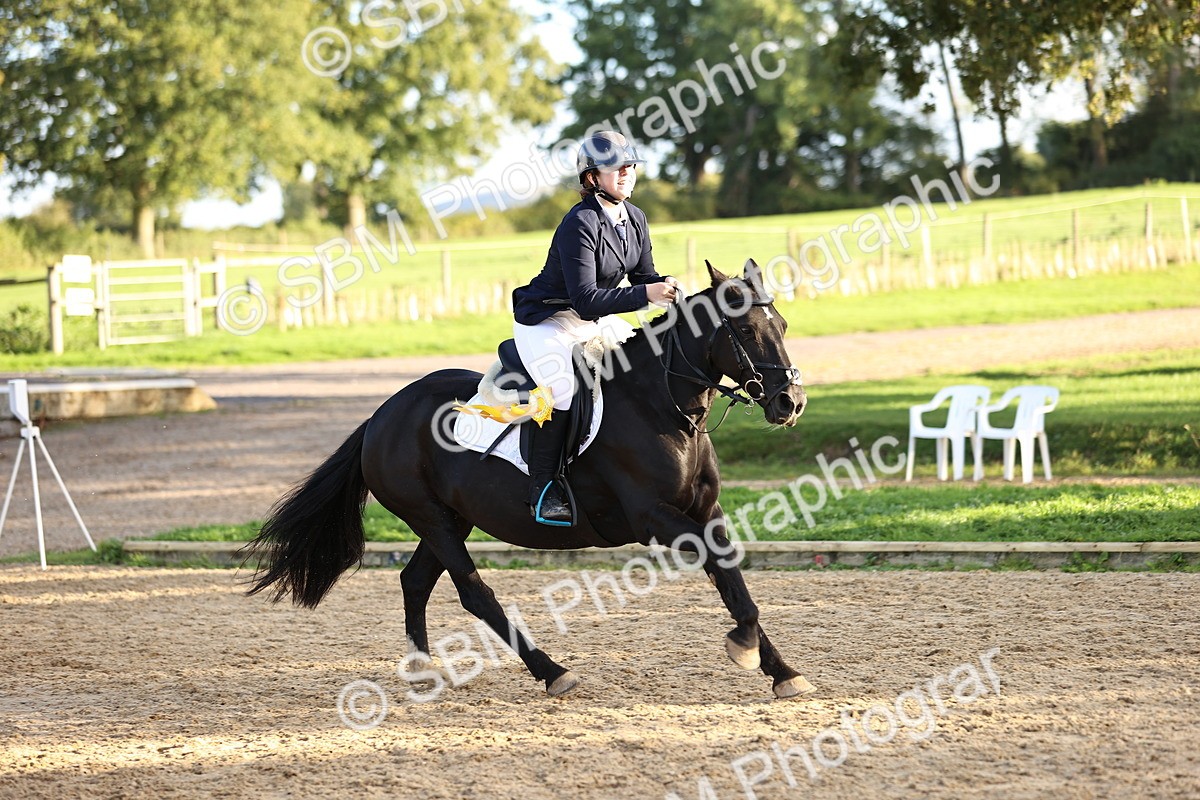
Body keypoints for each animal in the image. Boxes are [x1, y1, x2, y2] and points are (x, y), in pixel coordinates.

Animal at [244, 259, 813, 699]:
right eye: (745, 331)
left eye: (783, 325)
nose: (791, 403)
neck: (663, 407)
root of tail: (382, 415)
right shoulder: (653, 516)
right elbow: (723, 570)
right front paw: (744, 646)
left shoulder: (704, 512)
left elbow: (731, 575)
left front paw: (779, 670)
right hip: (430, 517)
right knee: (474, 593)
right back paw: (552, 672)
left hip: (450, 518)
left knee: (416, 581)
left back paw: (423, 671)